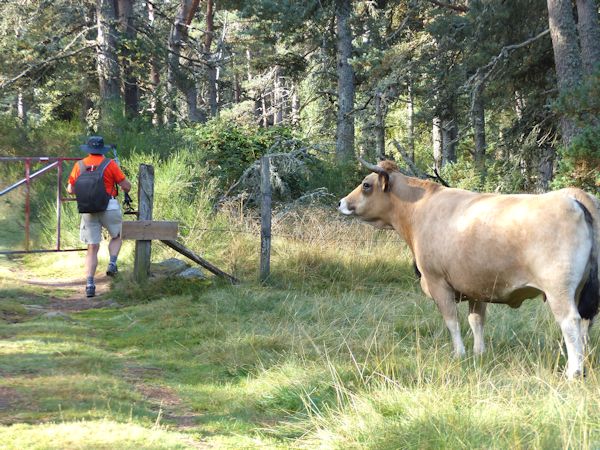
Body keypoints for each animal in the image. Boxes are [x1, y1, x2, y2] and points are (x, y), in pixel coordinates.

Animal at [340, 160, 600, 378]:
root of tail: (574, 196)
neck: (421, 209)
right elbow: (476, 321)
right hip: (580, 290)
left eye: (366, 184)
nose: (341, 202)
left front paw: (460, 353)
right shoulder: (477, 286)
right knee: (585, 324)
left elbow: (452, 321)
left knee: (570, 322)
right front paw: (479, 353)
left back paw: (574, 371)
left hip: (559, 289)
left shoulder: (438, 283)